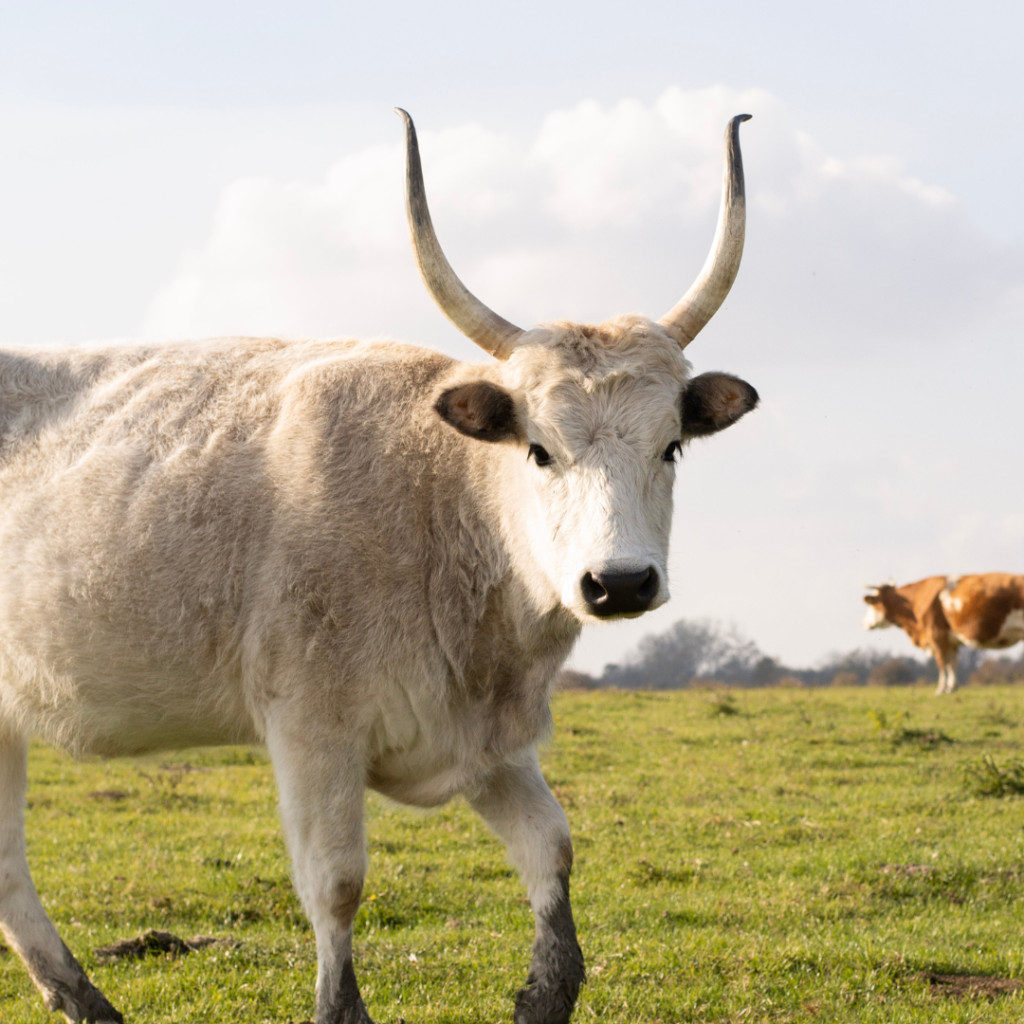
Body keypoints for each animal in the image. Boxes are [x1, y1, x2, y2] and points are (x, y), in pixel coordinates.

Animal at [0, 112, 761, 1024]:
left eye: (671, 445)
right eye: (539, 450)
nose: (618, 583)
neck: (444, 504)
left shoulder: (486, 742)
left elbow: (553, 847)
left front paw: (546, 990)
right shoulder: (312, 729)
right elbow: (336, 884)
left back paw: (82, 996)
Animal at [864, 573, 1024, 692]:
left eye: (874, 603)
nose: (863, 623)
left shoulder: (936, 634)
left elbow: (941, 662)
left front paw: (940, 689)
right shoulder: (950, 640)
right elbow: (952, 663)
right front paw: (952, 688)